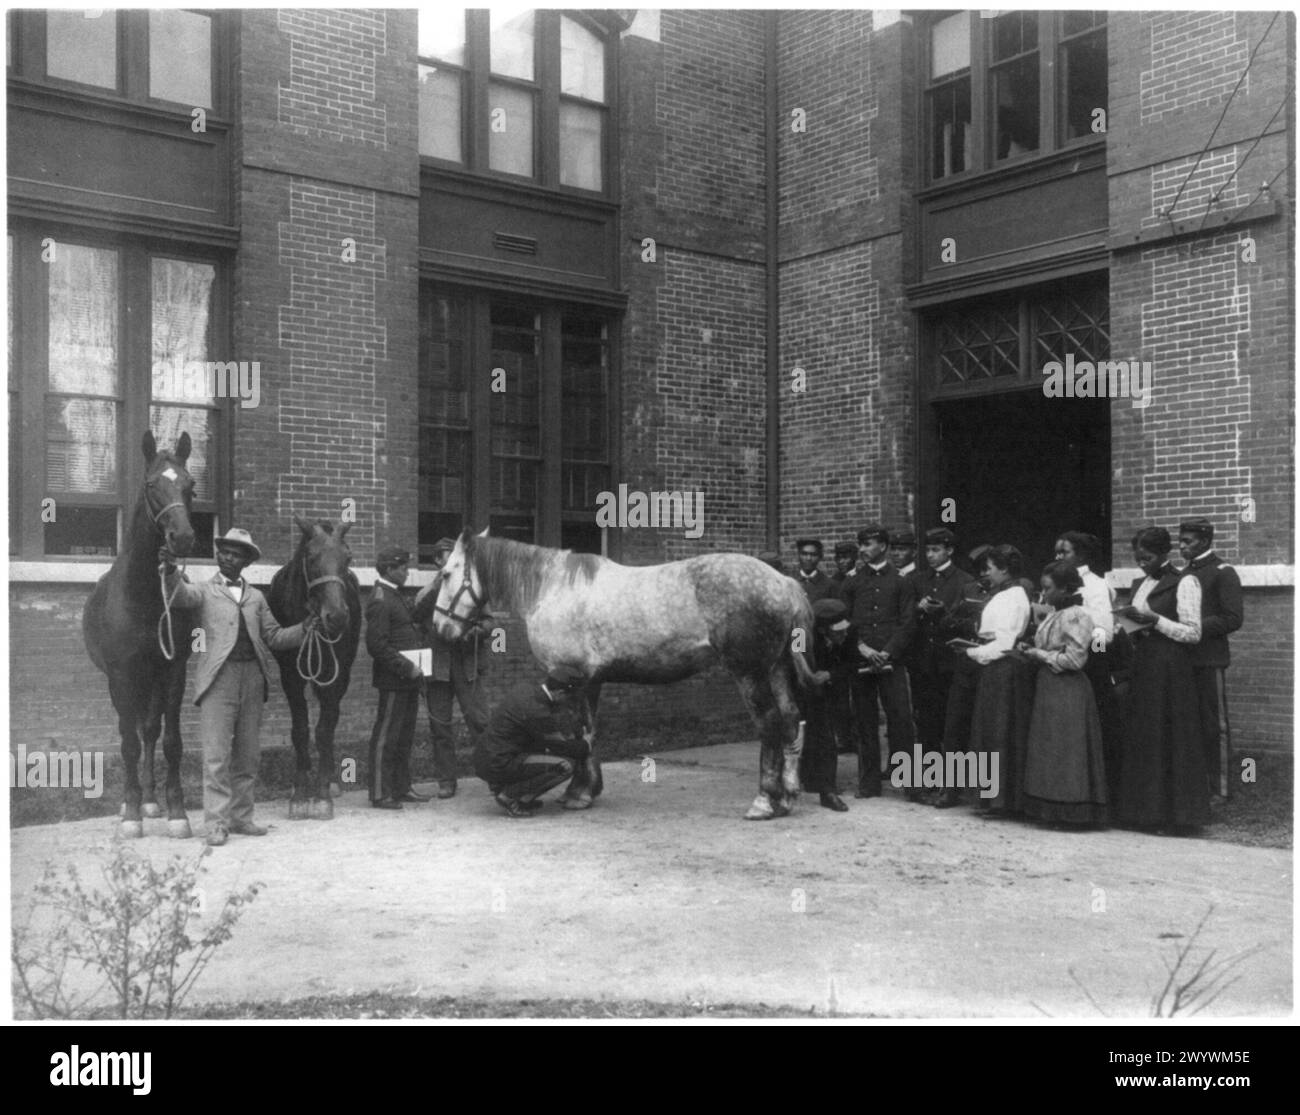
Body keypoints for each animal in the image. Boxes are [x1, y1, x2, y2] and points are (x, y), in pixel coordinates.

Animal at [83, 431, 197, 836]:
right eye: (151, 485)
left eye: (190, 485)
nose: (182, 537)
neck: (146, 596)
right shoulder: (122, 675)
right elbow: (128, 743)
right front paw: (130, 814)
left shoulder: (173, 669)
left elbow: (171, 740)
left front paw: (177, 811)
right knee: (131, 731)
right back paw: (132, 803)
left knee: (148, 730)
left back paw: (150, 800)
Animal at [266, 514, 361, 816]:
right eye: (310, 556)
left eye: (348, 556)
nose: (337, 616)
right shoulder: (290, 676)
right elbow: (300, 730)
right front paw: (300, 791)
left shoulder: (335, 674)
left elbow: (323, 730)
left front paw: (321, 793)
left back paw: (330, 781)